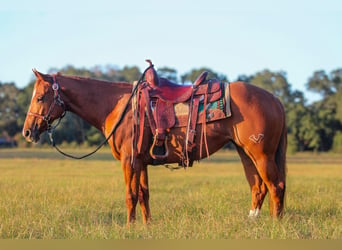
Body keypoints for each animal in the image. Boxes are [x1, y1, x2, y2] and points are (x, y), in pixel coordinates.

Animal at [22, 67, 288, 226]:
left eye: (39, 97)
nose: (27, 131)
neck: (118, 105)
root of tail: (275, 99)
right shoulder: (141, 161)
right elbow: (143, 194)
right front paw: (146, 225)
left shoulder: (129, 160)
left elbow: (130, 194)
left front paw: (129, 227)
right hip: (245, 153)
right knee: (258, 187)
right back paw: (252, 221)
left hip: (261, 154)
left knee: (276, 186)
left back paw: (276, 223)